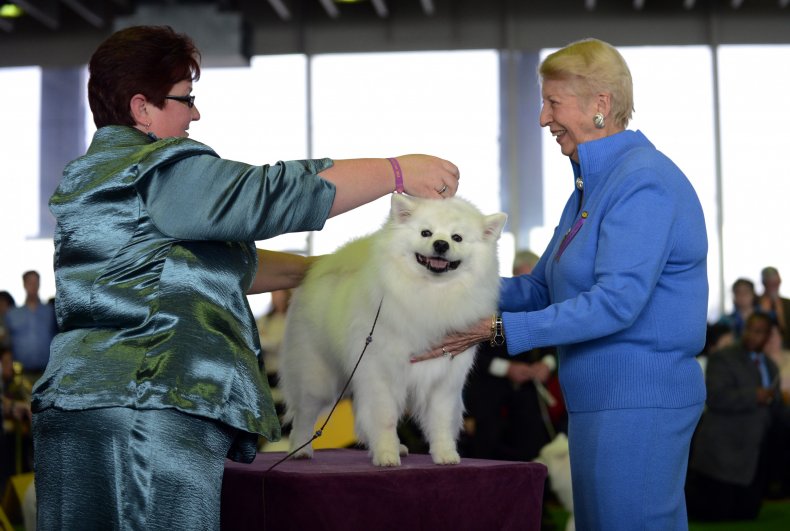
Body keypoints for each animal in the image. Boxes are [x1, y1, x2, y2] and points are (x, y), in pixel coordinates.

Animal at [280, 194, 508, 466]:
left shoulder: (444, 379)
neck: (431, 293)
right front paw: (387, 456)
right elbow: (385, 418)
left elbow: (441, 421)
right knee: (304, 413)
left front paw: (445, 455)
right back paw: (300, 450)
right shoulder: (380, 373)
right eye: (426, 232)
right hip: (317, 376)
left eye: (457, 238)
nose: (441, 244)